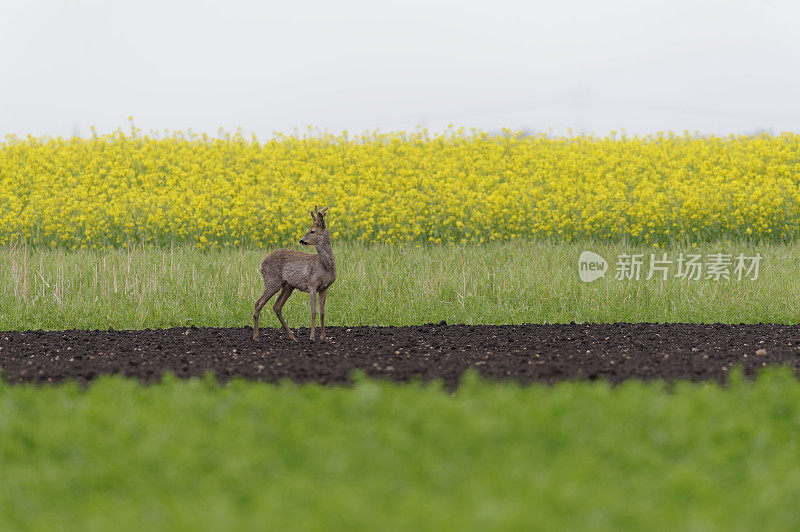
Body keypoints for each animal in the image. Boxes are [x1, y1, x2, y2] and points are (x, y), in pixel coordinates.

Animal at [253, 206, 334, 342]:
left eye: (312, 231)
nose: (301, 240)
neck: (324, 267)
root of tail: (262, 263)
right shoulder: (312, 284)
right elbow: (313, 311)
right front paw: (312, 337)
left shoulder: (324, 287)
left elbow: (322, 312)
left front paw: (323, 337)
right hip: (272, 281)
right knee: (258, 303)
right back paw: (256, 336)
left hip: (288, 286)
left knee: (277, 306)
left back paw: (292, 336)